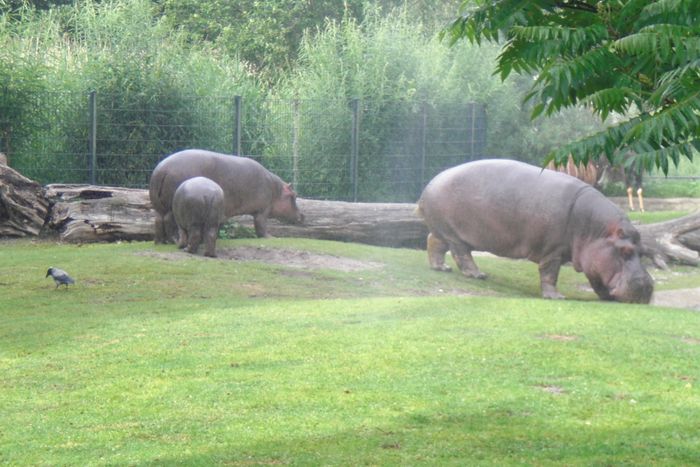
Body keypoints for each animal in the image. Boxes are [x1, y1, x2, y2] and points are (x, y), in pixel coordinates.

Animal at [149, 150, 304, 245]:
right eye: (294, 196)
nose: (303, 215)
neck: (276, 190)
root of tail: (162, 169)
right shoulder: (262, 210)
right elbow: (260, 226)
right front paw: (271, 237)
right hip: (172, 205)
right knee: (168, 220)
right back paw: (174, 240)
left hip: (158, 204)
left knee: (158, 220)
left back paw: (160, 242)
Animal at [416, 159, 652, 306]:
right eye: (625, 251)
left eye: (643, 251)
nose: (647, 287)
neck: (597, 231)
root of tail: (430, 183)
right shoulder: (553, 251)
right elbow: (549, 273)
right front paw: (556, 297)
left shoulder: (592, 258)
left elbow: (596, 279)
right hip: (456, 235)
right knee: (462, 254)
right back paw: (478, 275)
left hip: (443, 231)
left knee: (433, 242)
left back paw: (441, 268)